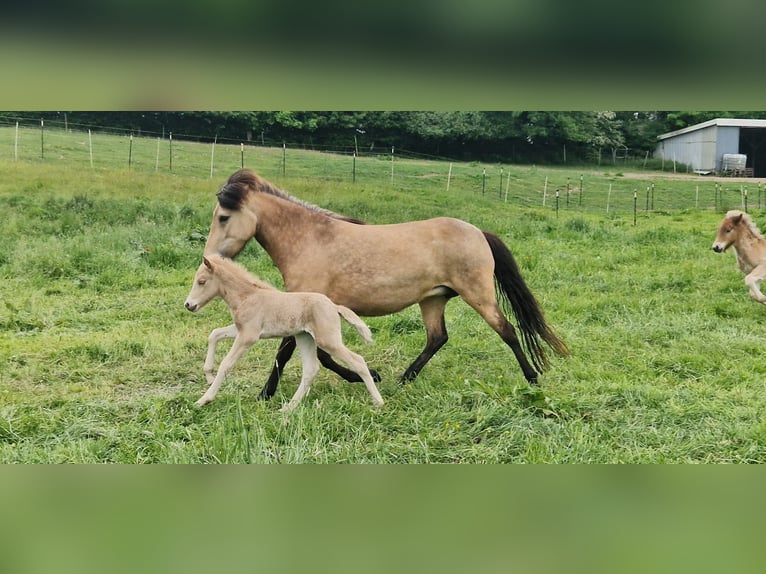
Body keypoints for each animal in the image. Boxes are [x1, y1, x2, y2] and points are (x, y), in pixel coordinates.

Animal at [184, 254, 388, 412]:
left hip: (327, 340)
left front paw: (204, 399)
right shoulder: (241, 330)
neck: (248, 297)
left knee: (358, 361)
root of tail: (334, 306)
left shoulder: (248, 336)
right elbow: (214, 334)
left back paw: (378, 402)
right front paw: (208, 375)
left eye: (201, 281)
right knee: (311, 369)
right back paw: (288, 408)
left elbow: (226, 363)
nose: (188, 305)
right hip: (304, 337)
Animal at [204, 166, 568, 400]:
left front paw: (265, 394)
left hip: (478, 295)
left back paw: (532, 379)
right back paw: (404, 379)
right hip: (433, 299)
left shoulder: (306, 306)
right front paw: (369, 375)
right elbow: (316, 354)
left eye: (223, 217)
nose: (209, 259)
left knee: (507, 330)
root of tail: (479, 232)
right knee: (438, 338)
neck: (310, 240)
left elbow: (290, 351)